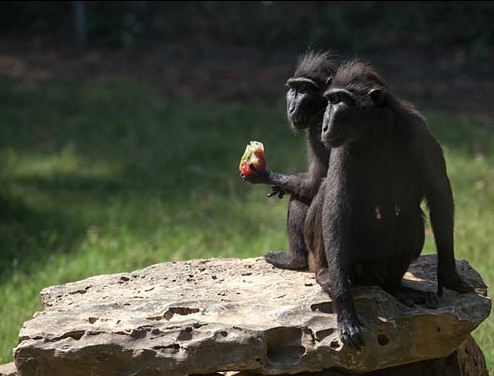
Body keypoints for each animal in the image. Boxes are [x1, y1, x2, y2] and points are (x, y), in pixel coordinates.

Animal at [242, 52, 336, 270]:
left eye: (304, 89)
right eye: (293, 88)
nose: (292, 105)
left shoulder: (318, 130)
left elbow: (316, 180)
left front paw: (264, 174)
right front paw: (280, 185)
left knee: (299, 201)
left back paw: (293, 260)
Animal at [306, 59, 472, 350]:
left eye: (338, 101)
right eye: (328, 101)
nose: (324, 125)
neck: (377, 133)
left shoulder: (419, 134)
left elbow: (439, 196)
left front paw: (449, 275)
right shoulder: (344, 146)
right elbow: (337, 210)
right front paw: (345, 309)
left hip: (377, 266)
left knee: (409, 217)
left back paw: (395, 286)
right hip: (350, 263)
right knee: (328, 194)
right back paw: (327, 274)